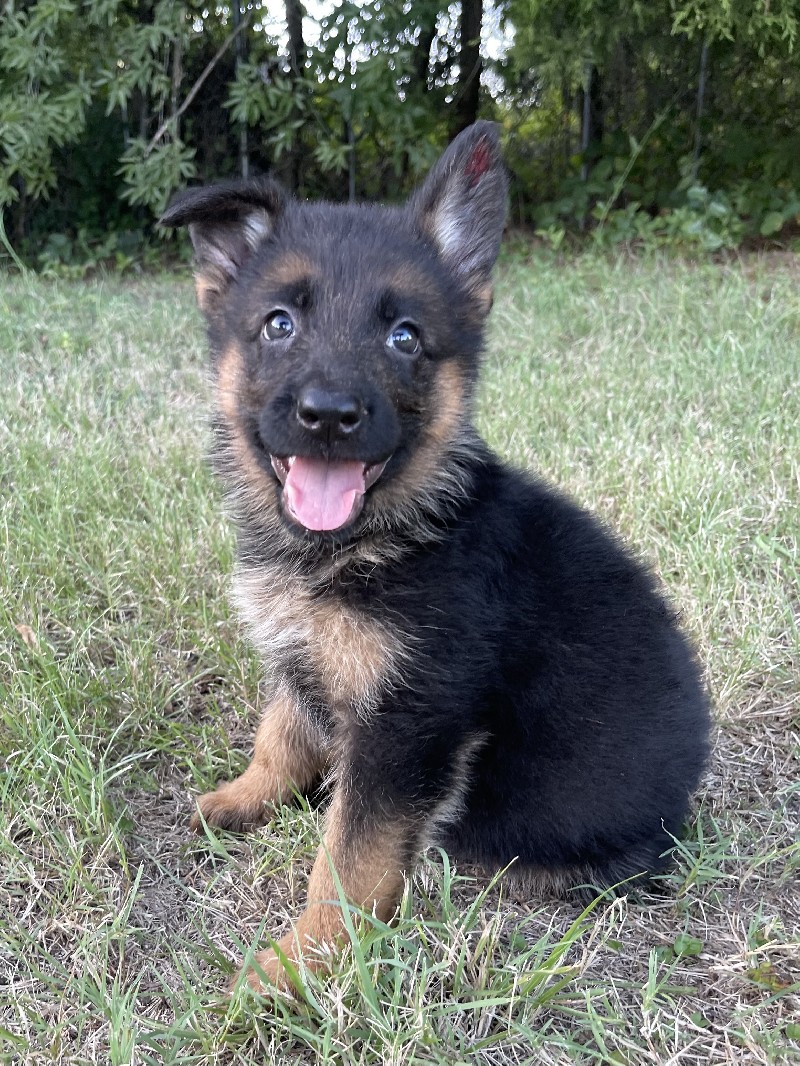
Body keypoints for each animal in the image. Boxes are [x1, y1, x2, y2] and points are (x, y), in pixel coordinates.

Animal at [160, 122, 712, 989]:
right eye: (279, 324)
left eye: (404, 337)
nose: (328, 415)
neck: (372, 540)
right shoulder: (304, 656)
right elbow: (282, 729)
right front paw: (249, 794)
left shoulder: (408, 723)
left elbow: (349, 855)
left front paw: (306, 963)